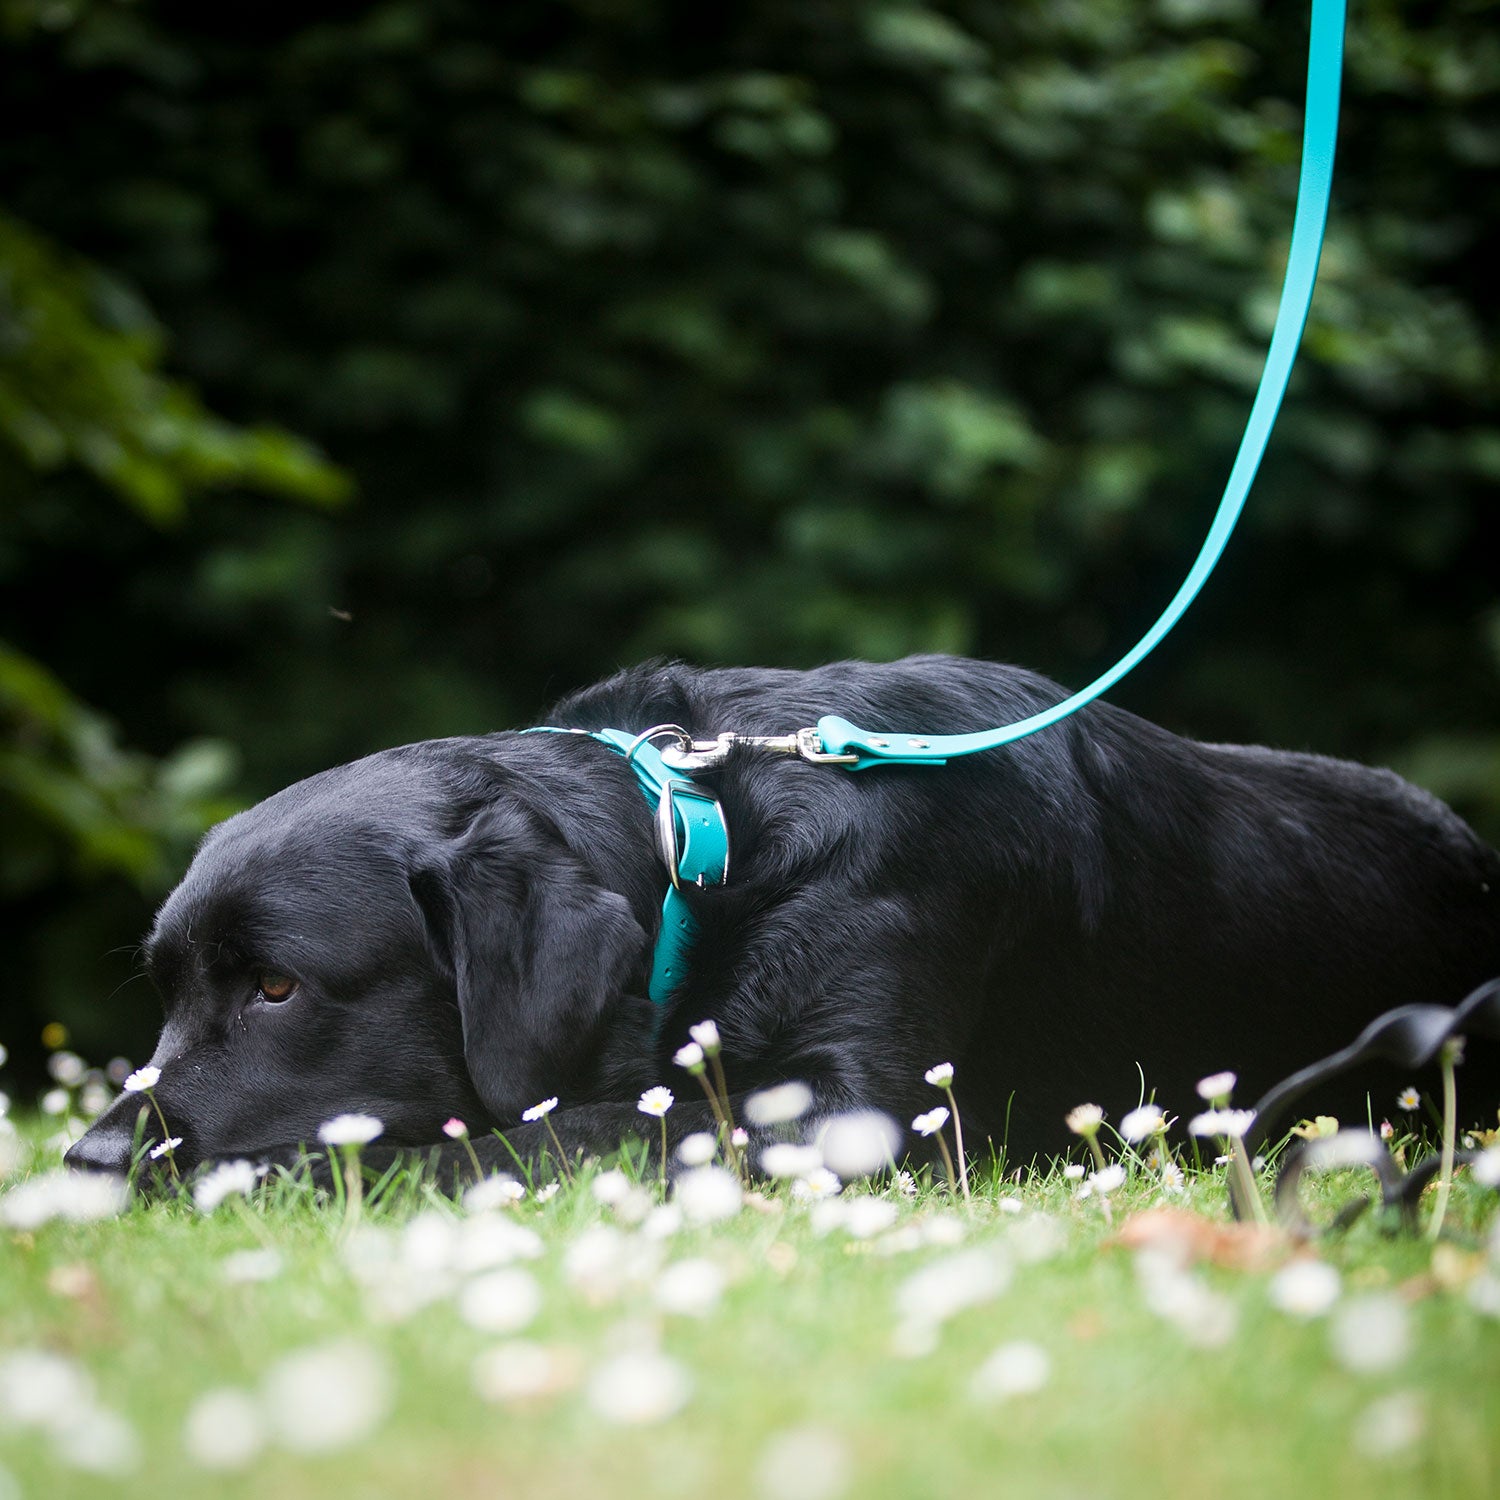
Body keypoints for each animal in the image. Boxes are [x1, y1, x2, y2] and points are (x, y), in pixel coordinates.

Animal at [61, 660, 1500, 1182]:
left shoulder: (855, 1108)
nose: (83, 1161)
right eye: (170, 987)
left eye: (279, 990)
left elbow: (565, 1127)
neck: (707, 842)